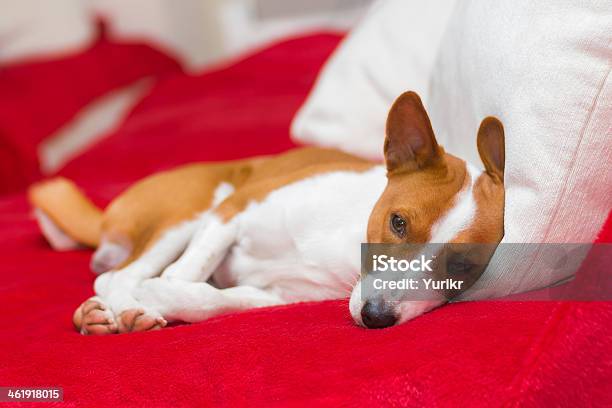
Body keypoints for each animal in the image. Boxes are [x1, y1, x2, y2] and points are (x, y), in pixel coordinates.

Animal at [28, 91, 504, 334]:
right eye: (398, 223)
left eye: (462, 267)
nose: (376, 317)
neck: (342, 242)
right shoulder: (234, 209)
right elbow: (184, 274)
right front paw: (158, 292)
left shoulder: (275, 297)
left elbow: (214, 301)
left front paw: (170, 298)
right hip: (191, 210)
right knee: (116, 276)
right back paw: (120, 307)